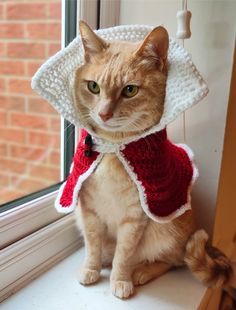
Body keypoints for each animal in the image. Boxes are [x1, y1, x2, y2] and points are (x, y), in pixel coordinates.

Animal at [74, 21, 232, 298]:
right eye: (93, 86)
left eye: (130, 90)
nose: (103, 114)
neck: (114, 148)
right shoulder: (88, 211)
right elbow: (92, 246)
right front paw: (91, 268)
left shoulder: (135, 218)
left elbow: (124, 255)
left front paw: (120, 280)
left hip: (168, 229)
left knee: (172, 261)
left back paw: (141, 272)